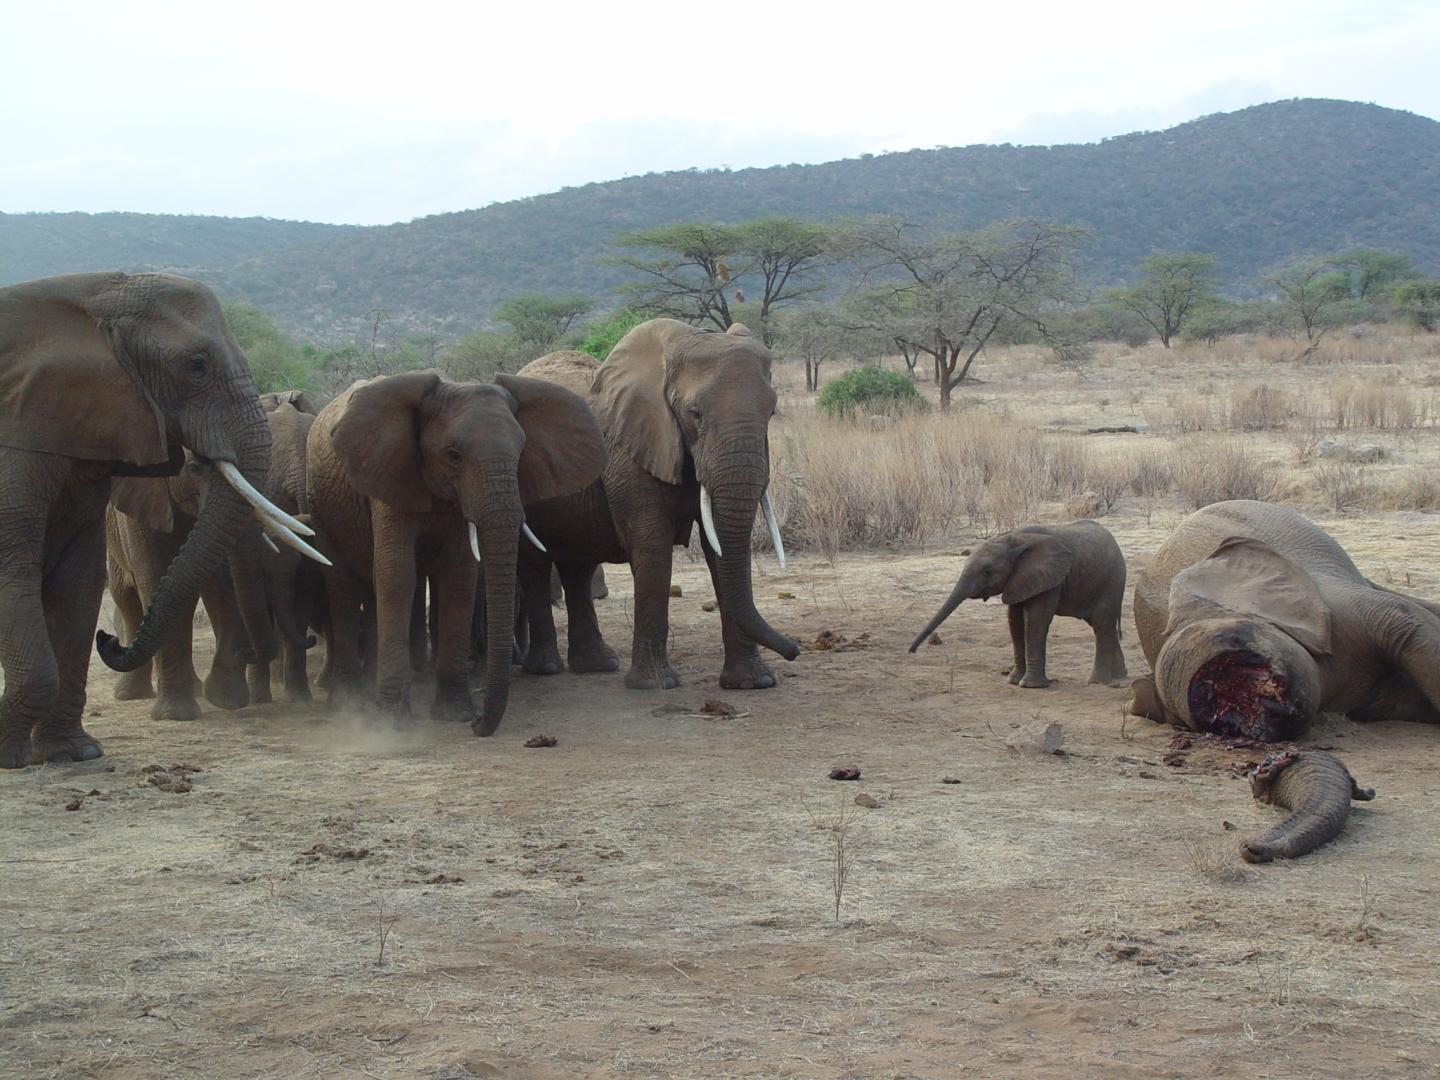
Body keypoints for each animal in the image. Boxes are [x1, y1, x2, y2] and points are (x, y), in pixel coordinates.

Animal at [0, 272, 317, 768]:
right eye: (196, 365)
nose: (108, 641)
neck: (91, 299)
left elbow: (79, 579)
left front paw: (74, 752)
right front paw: (179, 715)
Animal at [305, 370, 606, 735]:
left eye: (522, 452)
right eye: (453, 455)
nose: (479, 724)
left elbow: (459, 579)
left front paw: (455, 714)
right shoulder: (390, 477)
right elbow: (397, 575)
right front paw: (391, 723)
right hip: (321, 509)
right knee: (342, 586)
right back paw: (347, 703)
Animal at [514, 327, 798, 692]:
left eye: (772, 412)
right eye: (694, 413)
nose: (794, 651)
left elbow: (717, 550)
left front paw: (752, 683)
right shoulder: (628, 450)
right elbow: (653, 545)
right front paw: (654, 685)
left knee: (577, 566)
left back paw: (596, 666)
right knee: (536, 566)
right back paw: (546, 668)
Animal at [908, 521, 1128, 688]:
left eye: (987, 572)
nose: (911, 652)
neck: (1014, 540)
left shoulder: (1050, 578)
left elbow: (1035, 621)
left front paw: (1030, 685)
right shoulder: (1018, 580)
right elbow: (1014, 621)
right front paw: (1013, 681)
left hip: (1112, 580)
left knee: (1101, 623)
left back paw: (1097, 682)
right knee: (1106, 626)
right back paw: (1120, 676)